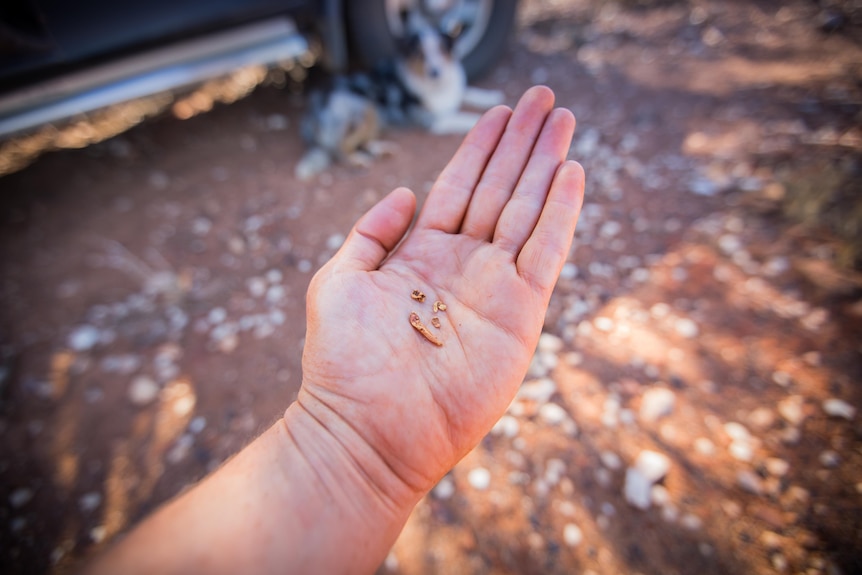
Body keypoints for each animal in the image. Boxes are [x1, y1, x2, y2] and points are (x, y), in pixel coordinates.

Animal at [296, 9, 506, 180]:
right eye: (421, 54)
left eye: (441, 49)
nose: (435, 72)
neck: (436, 85)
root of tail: (313, 108)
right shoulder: (434, 120)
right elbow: (465, 116)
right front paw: (481, 120)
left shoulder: (453, 94)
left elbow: (469, 92)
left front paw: (491, 97)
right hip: (363, 108)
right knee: (340, 148)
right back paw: (357, 159)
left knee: (363, 141)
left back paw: (380, 149)